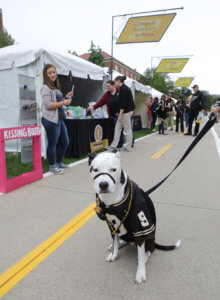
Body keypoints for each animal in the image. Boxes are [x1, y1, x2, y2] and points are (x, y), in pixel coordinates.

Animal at [87, 151, 180, 284]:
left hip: (148, 237)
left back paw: (146, 256)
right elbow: (115, 241)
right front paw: (114, 254)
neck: (112, 199)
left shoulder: (140, 228)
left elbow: (140, 256)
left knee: (149, 250)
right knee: (122, 240)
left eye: (113, 169)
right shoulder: (112, 225)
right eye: (95, 169)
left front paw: (140, 273)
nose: (103, 184)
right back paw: (120, 244)